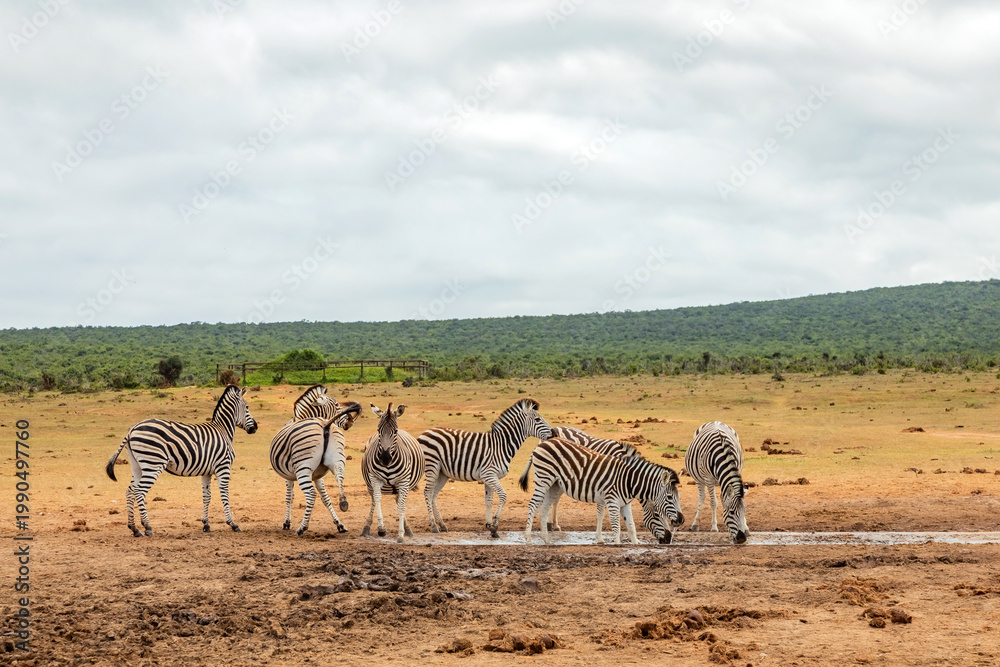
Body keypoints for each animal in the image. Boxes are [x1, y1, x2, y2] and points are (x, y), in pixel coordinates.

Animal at [105, 384, 258, 537]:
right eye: (247, 407)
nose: (255, 427)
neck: (223, 430)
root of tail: (132, 429)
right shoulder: (223, 467)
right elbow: (224, 495)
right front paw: (232, 524)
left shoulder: (207, 471)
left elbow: (206, 496)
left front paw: (206, 524)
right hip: (153, 463)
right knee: (139, 491)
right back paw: (147, 527)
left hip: (137, 465)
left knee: (130, 491)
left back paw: (134, 528)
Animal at [270, 401, 362, 535]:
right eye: (337, 405)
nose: (350, 422)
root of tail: (325, 424)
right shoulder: (318, 476)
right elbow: (325, 498)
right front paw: (338, 524)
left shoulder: (289, 477)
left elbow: (289, 497)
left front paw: (287, 523)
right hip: (338, 460)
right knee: (340, 481)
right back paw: (343, 503)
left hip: (303, 468)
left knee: (311, 494)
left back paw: (302, 527)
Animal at [361, 403, 425, 543]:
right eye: (378, 430)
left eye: (395, 431)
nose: (385, 458)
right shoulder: (375, 478)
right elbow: (377, 499)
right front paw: (381, 528)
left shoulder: (404, 481)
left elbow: (401, 507)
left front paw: (400, 535)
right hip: (370, 485)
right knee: (373, 500)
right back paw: (366, 528)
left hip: (403, 485)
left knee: (400, 501)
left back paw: (408, 530)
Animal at [420, 397, 552, 538]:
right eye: (537, 419)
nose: (553, 432)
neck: (502, 445)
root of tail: (425, 432)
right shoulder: (489, 474)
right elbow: (503, 496)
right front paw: (495, 525)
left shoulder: (488, 477)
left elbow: (489, 500)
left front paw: (490, 526)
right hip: (432, 466)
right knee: (427, 492)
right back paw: (434, 526)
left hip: (442, 473)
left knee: (433, 495)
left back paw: (442, 525)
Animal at [519, 437, 683, 545]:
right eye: (669, 497)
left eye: (678, 498)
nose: (681, 520)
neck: (628, 480)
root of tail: (543, 443)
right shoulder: (611, 500)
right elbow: (615, 524)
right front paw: (614, 543)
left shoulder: (625, 503)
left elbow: (630, 525)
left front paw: (635, 542)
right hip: (544, 479)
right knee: (533, 505)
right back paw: (528, 538)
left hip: (554, 485)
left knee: (544, 508)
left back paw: (546, 539)